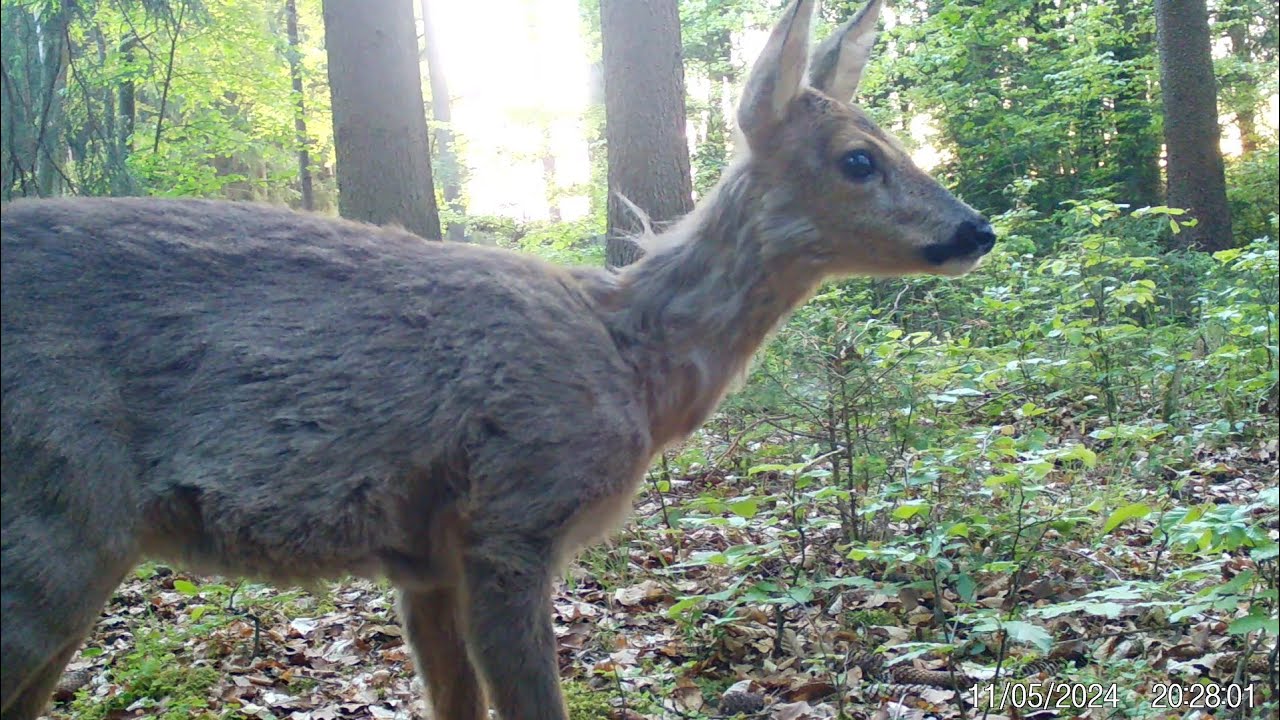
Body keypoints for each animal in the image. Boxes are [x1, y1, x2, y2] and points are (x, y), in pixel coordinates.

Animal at [0, 1, 995, 718]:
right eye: (859, 159)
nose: (976, 228)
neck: (631, 359)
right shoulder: (513, 519)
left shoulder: (424, 560)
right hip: (53, 523)